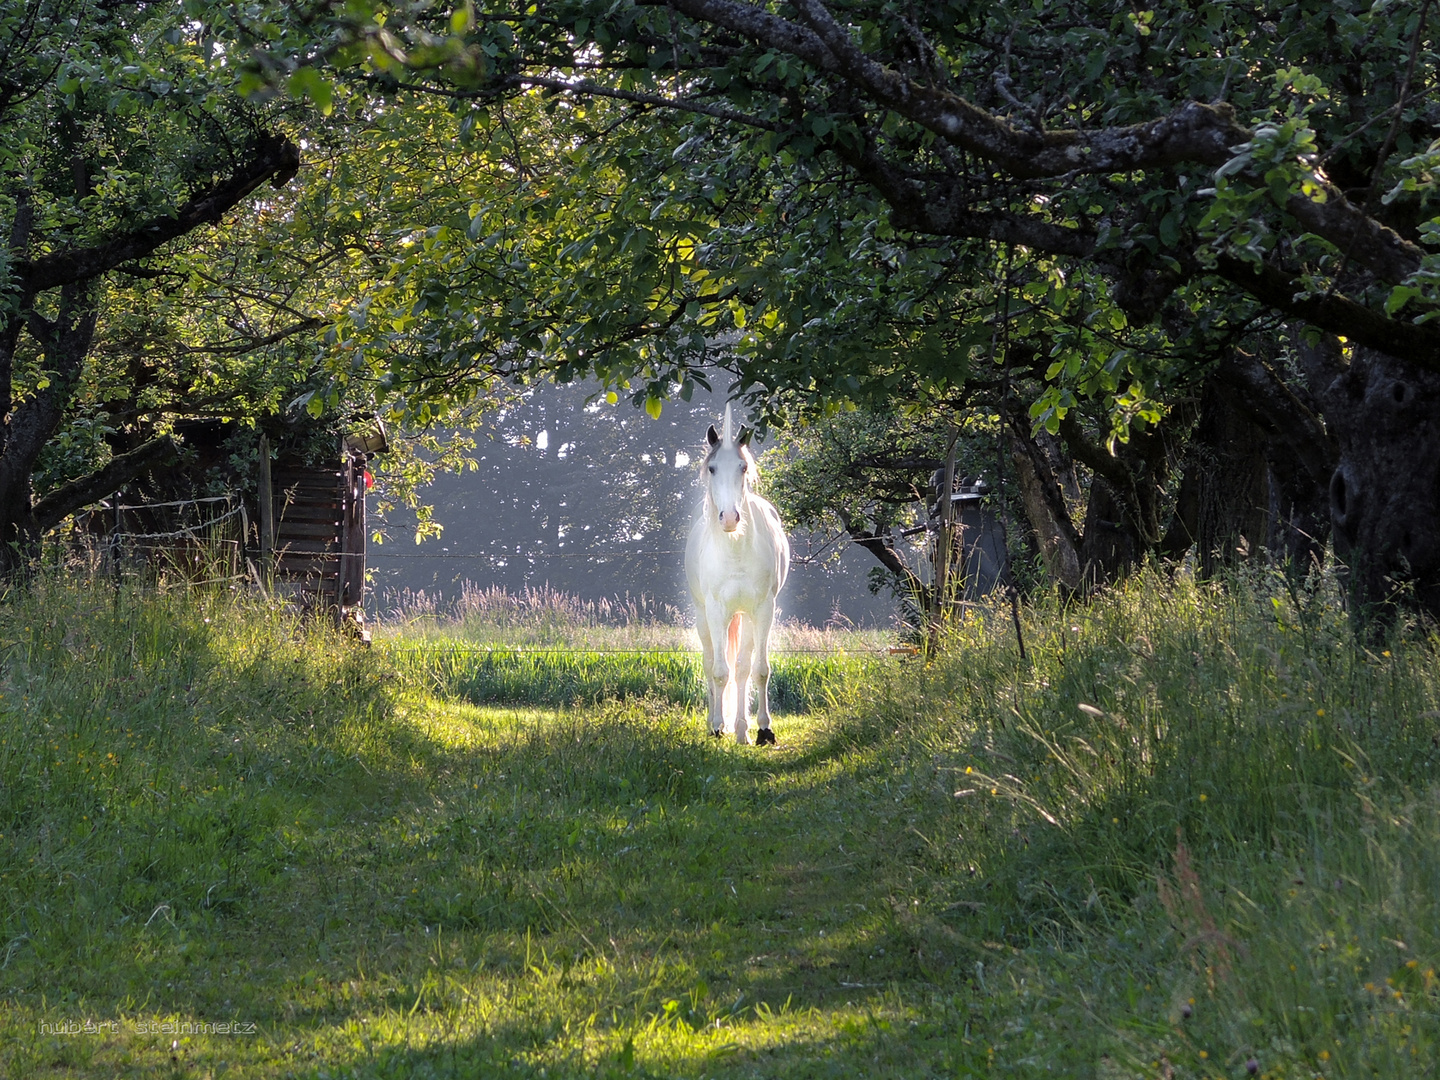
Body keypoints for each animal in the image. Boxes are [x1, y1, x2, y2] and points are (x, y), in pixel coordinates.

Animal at [682, 403, 789, 748]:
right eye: (713, 468)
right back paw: (716, 723)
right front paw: (718, 726)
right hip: (705, 616)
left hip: (746, 616)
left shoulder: (763, 609)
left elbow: (757, 670)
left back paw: (742, 729)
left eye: (742, 467)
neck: (736, 549)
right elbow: (719, 671)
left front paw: (763, 730)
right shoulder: (716, 611)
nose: (729, 518)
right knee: (711, 663)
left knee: (742, 667)